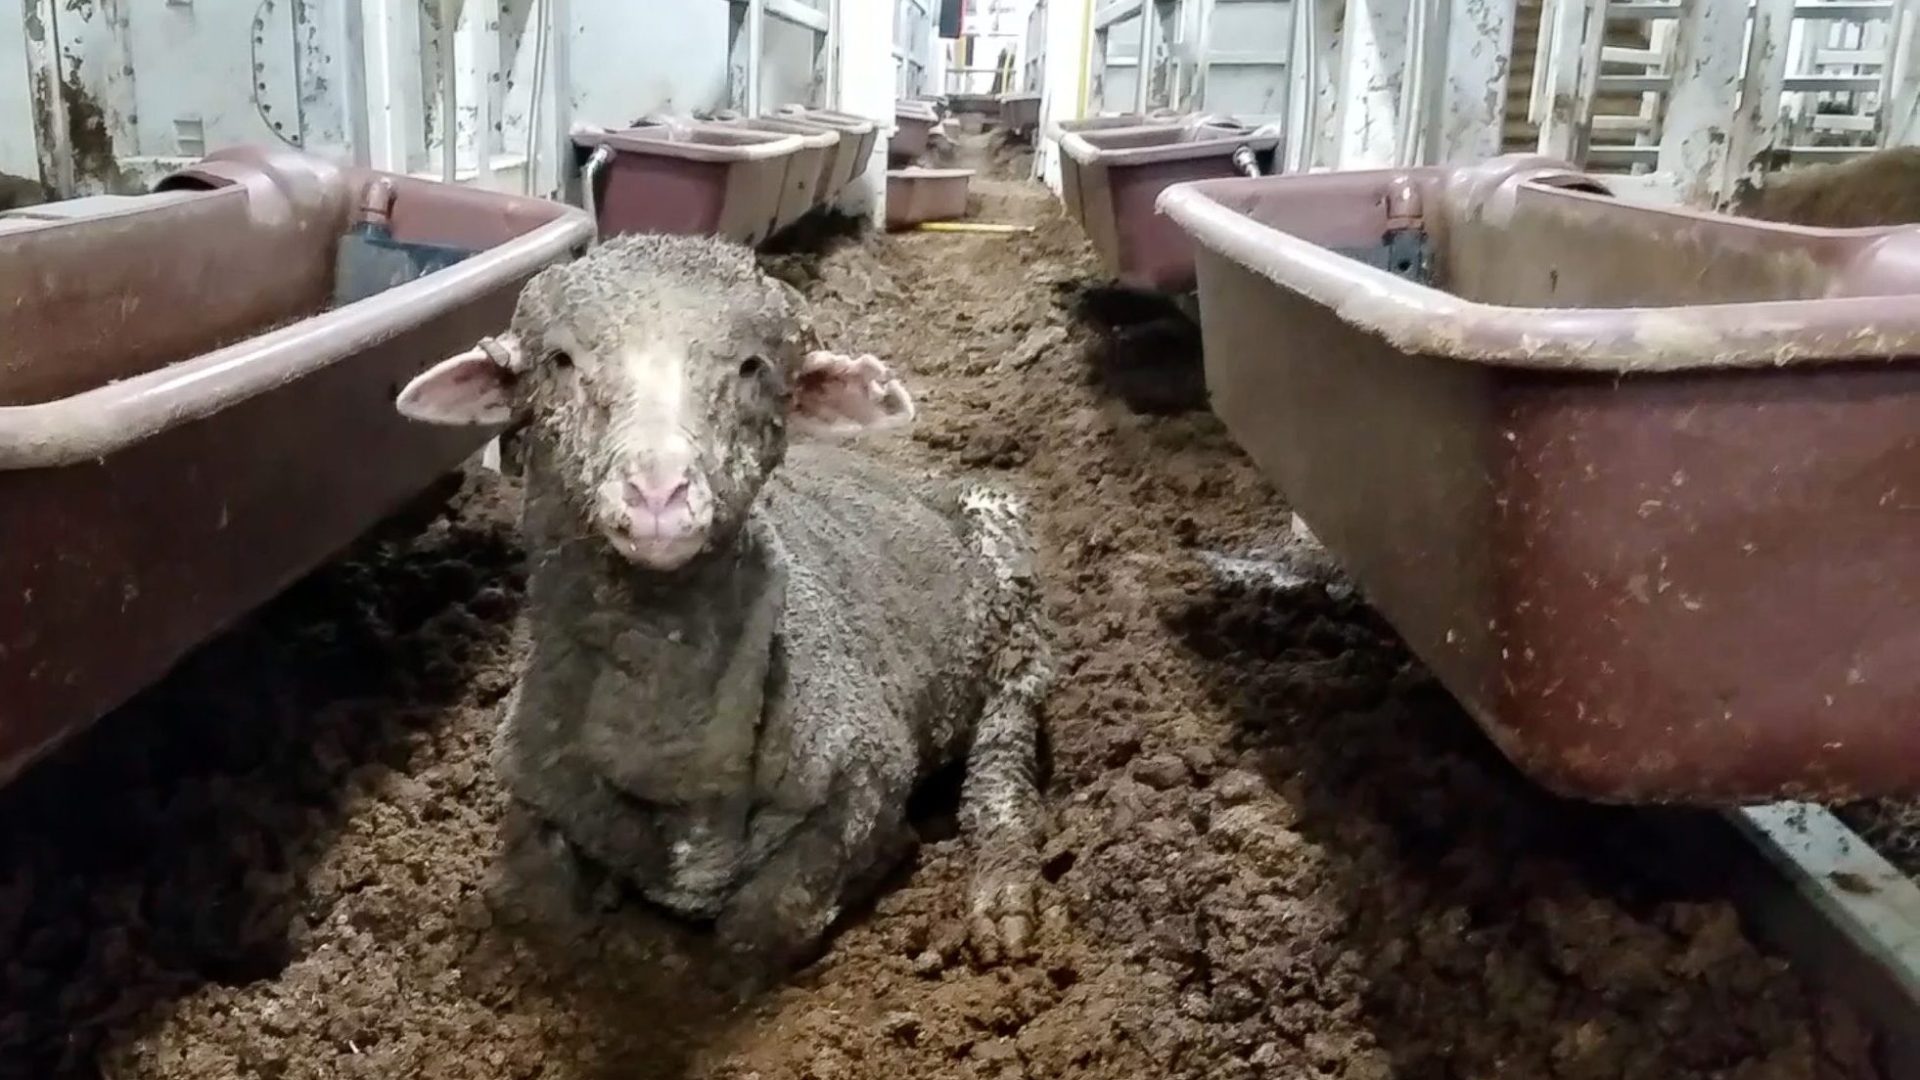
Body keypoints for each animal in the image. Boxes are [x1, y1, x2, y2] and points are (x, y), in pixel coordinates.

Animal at [389, 231, 1052, 980]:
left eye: (752, 366)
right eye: (559, 361)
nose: (658, 493)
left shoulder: (866, 780)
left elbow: (759, 923)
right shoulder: (530, 786)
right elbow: (534, 906)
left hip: (1016, 617)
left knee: (1003, 755)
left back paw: (1002, 894)